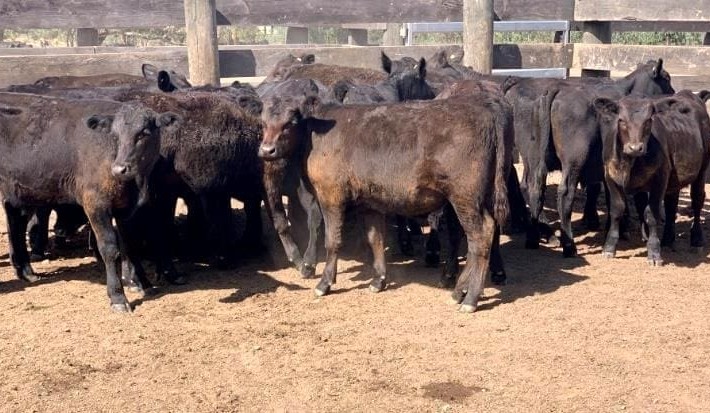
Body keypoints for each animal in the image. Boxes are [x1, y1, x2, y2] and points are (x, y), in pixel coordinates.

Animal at [0, 92, 179, 311]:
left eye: (144, 133)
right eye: (115, 135)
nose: (120, 169)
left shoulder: (127, 209)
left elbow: (130, 245)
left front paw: (141, 283)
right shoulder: (96, 204)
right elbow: (110, 248)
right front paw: (118, 297)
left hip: (21, 191)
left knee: (15, 219)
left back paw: (26, 271)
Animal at [259, 92, 513, 313]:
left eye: (290, 122)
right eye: (263, 122)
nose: (266, 150)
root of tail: (485, 110)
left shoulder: (331, 196)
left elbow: (332, 241)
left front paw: (324, 283)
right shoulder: (370, 203)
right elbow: (375, 239)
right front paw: (378, 280)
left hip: (465, 198)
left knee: (480, 236)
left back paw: (470, 299)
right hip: (478, 197)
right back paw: (459, 291)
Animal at [593, 90, 710, 264]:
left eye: (648, 121)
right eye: (621, 120)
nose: (635, 148)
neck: (630, 162)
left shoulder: (659, 180)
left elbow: (651, 214)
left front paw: (654, 252)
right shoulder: (611, 177)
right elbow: (616, 210)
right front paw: (609, 247)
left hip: (702, 170)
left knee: (697, 201)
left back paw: (696, 240)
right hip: (674, 178)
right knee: (671, 205)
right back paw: (668, 240)